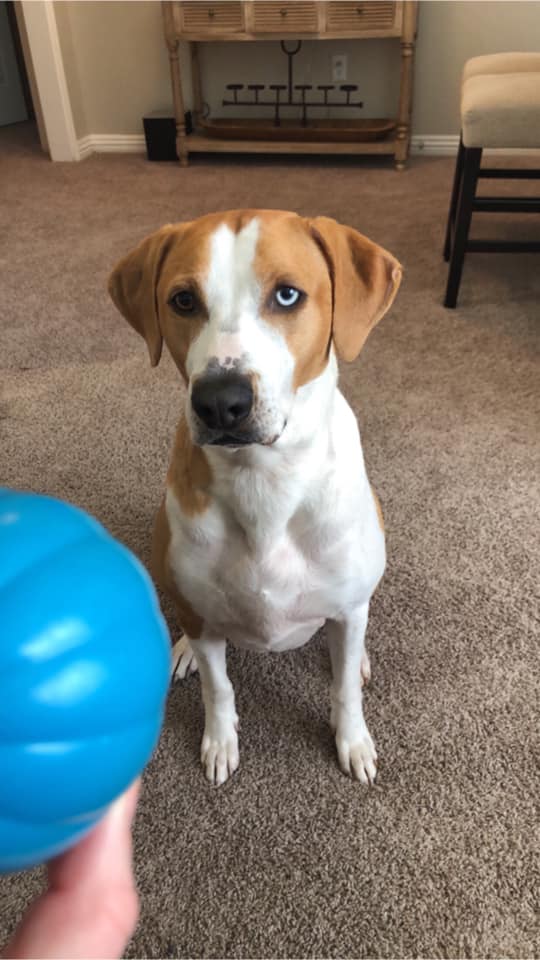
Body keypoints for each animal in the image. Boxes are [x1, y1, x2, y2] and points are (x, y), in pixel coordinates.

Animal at [109, 212, 400, 788]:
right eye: (182, 300)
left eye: (287, 295)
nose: (221, 402)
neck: (263, 481)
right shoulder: (201, 616)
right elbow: (218, 687)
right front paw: (220, 741)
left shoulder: (347, 606)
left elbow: (343, 689)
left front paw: (352, 740)